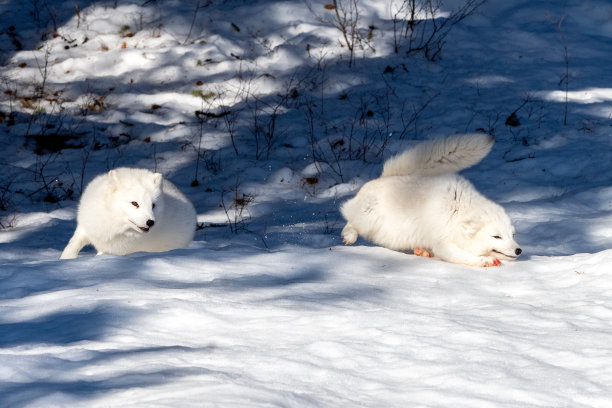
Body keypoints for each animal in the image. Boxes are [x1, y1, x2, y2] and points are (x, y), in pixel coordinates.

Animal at [60, 168, 196, 258]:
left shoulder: (116, 250)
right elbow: (72, 245)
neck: (112, 222)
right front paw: (65, 260)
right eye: (134, 203)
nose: (150, 222)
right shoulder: (86, 227)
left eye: (153, 205)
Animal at [340, 134, 520, 268]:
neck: (458, 212)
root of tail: (382, 177)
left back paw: (422, 251)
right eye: (496, 236)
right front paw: (485, 261)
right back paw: (349, 235)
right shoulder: (442, 243)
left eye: (512, 235)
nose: (519, 250)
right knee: (349, 216)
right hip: (369, 218)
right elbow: (462, 256)